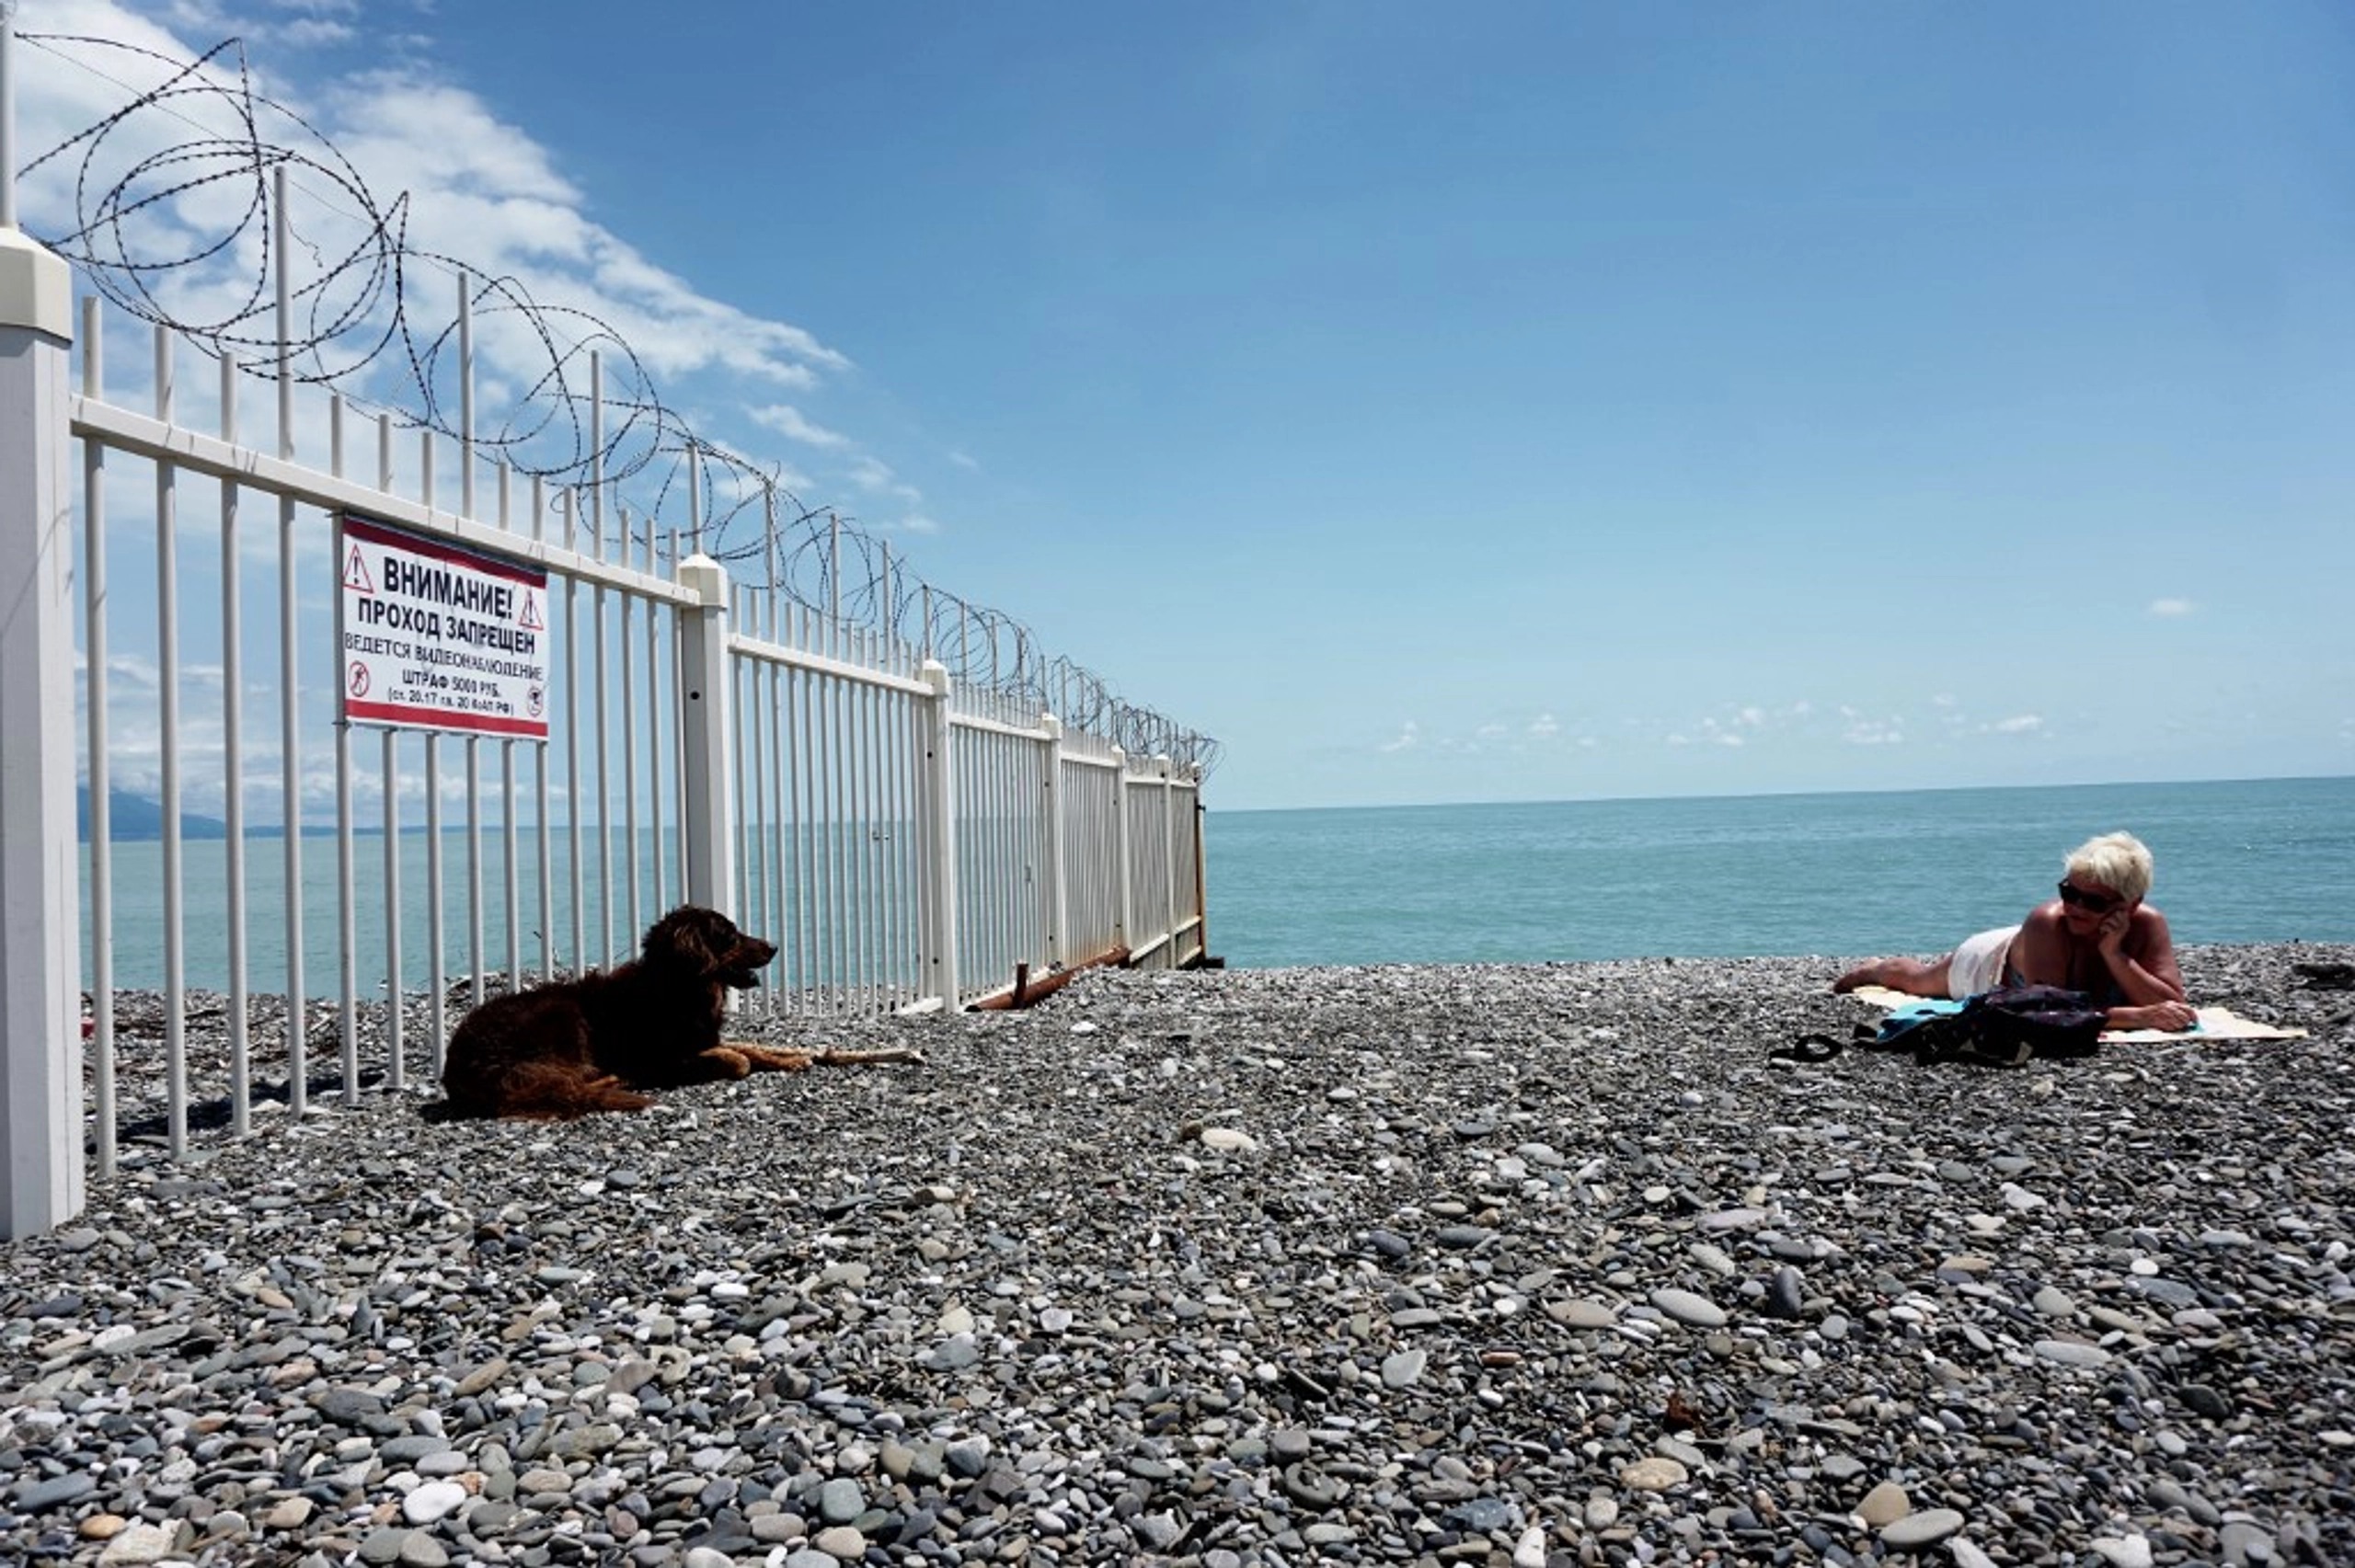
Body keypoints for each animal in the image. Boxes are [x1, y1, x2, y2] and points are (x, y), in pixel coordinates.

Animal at [438, 904, 904, 1111]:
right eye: (729, 935)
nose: (773, 946)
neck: (679, 987)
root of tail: (458, 1063)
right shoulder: (663, 1054)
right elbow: (738, 1059)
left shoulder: (702, 1034)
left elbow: (749, 1048)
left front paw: (791, 1059)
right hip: (562, 1014)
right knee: (567, 1082)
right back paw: (615, 1080)